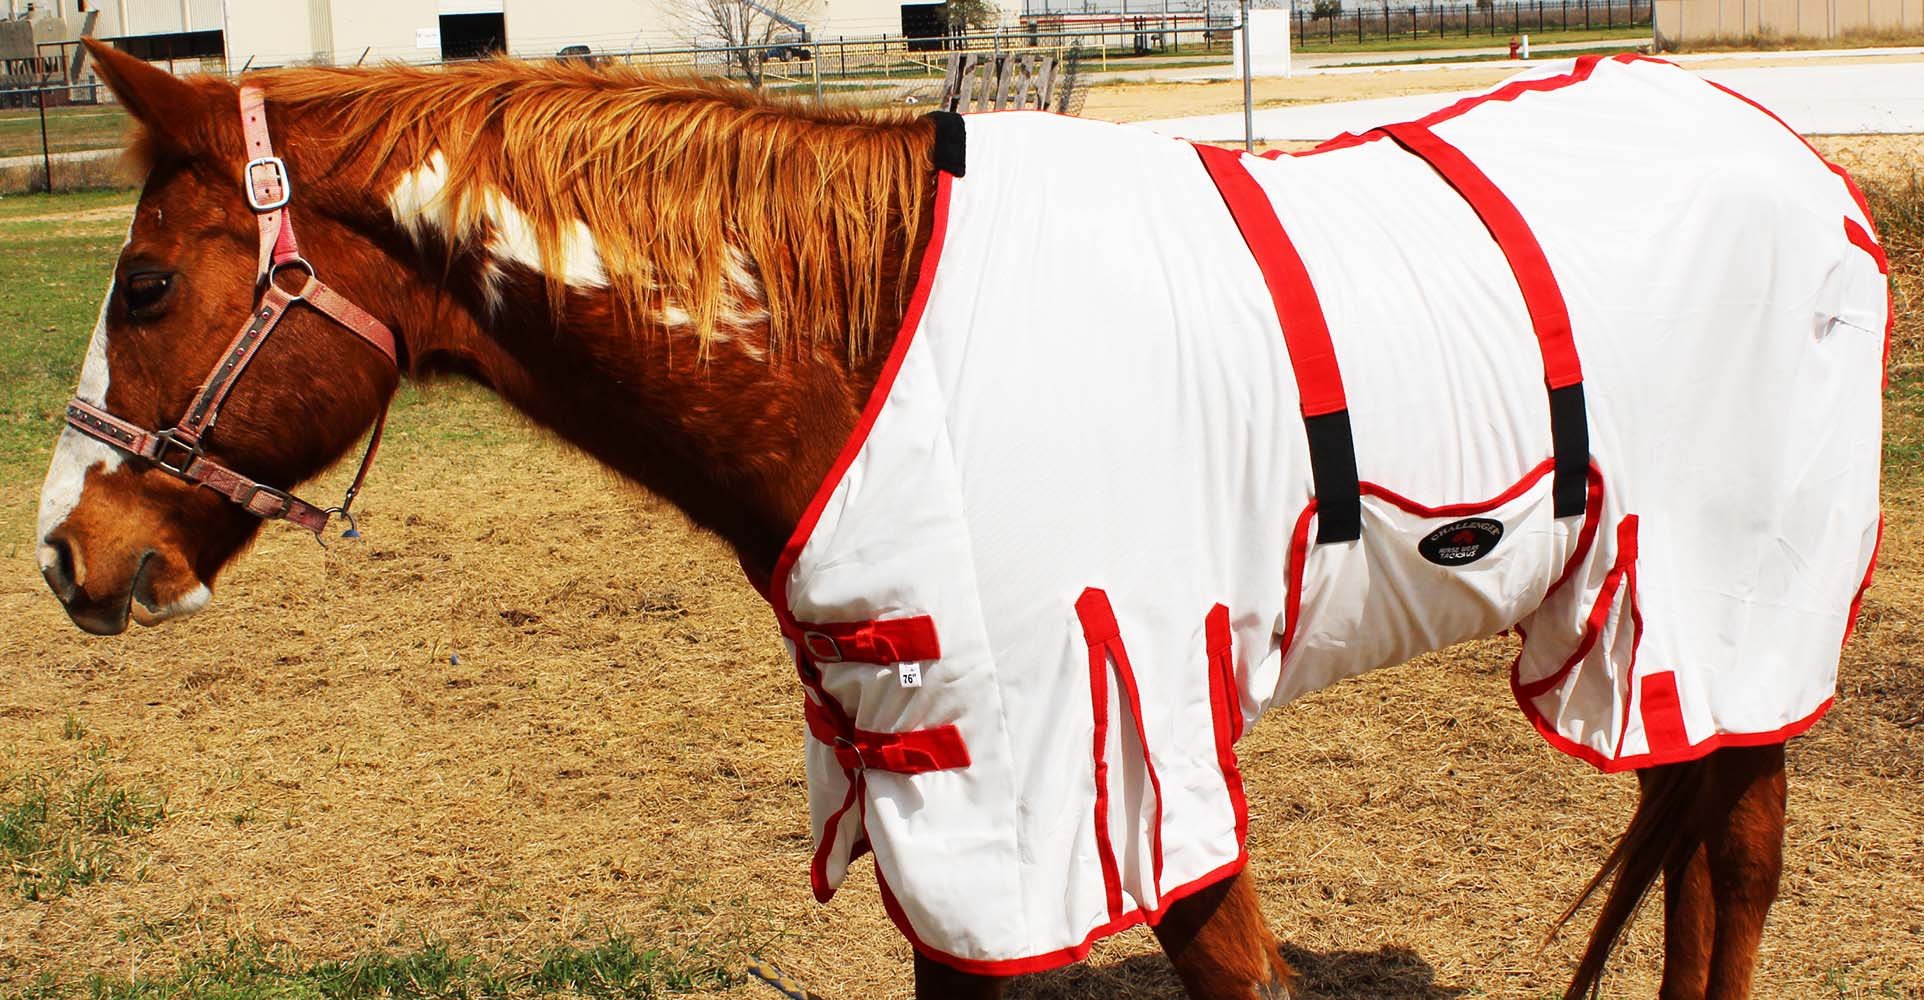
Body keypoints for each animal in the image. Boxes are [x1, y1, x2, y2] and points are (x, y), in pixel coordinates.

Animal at [33, 39, 1884, 999]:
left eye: (144, 285)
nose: (66, 557)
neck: (872, 352)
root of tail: (1779, 149)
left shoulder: (1115, 751)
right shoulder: (938, 780)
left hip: (1727, 615)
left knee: (1733, 865)